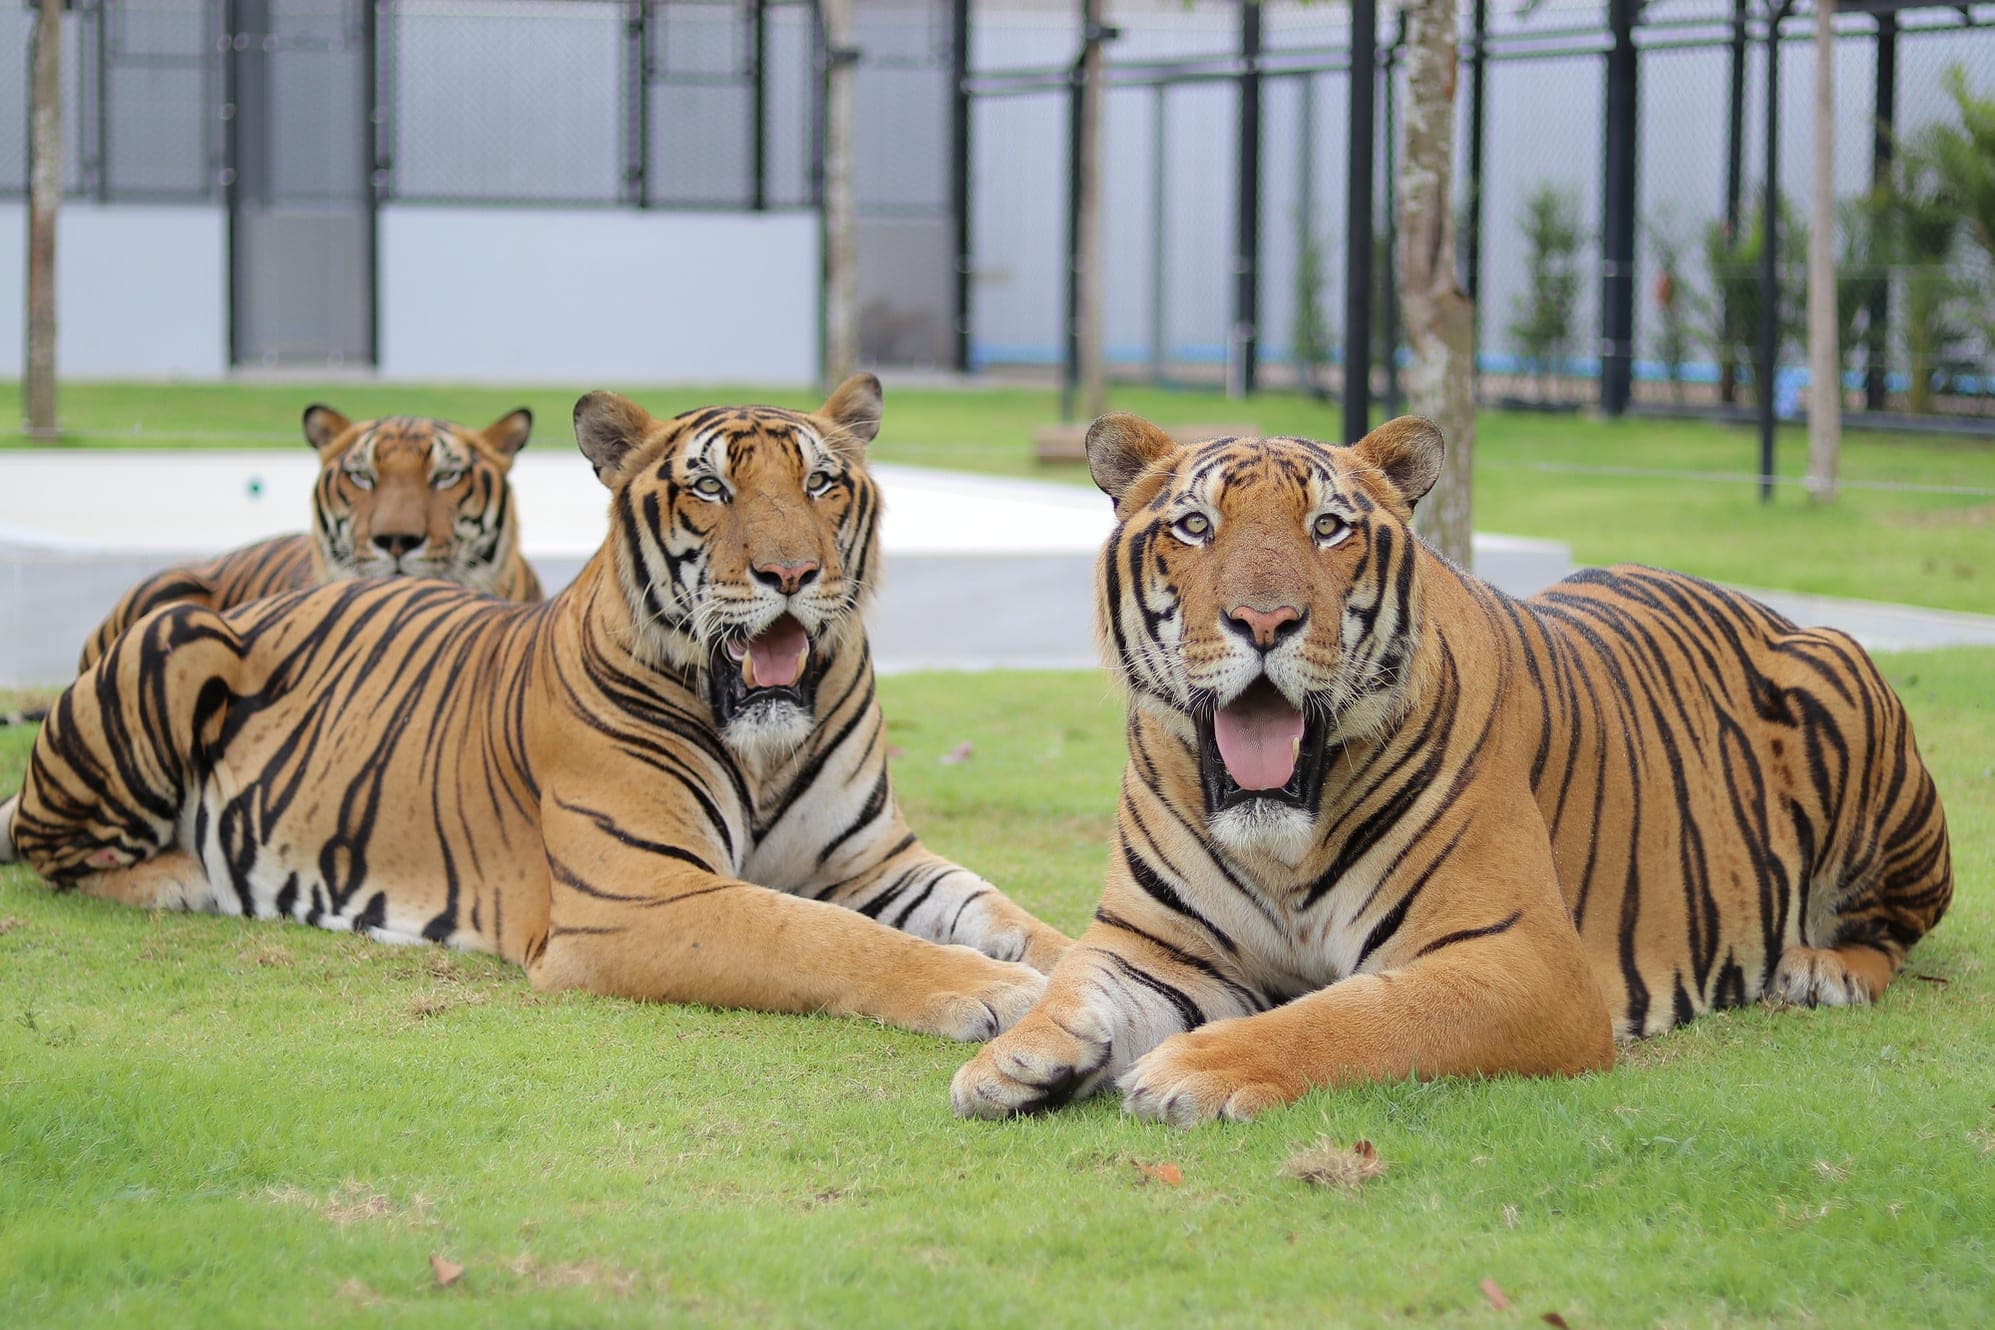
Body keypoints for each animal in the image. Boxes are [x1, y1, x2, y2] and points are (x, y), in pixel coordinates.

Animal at [952, 414, 1952, 1125]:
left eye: (1327, 527)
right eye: (1194, 526)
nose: (1264, 621)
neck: (1281, 839)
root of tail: (1766, 607)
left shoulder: (1521, 960)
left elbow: (1353, 1015)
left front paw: (1196, 1066)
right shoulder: (1153, 943)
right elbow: (1078, 981)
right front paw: (1014, 1058)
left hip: (1850, 703)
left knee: (1893, 928)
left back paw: (1821, 971)